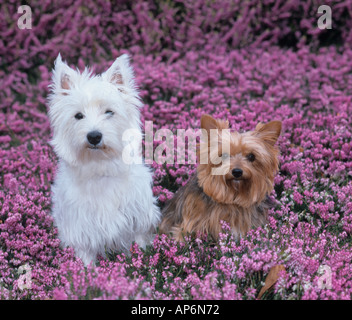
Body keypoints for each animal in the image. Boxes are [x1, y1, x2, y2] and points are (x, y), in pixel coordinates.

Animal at [47, 54, 160, 264]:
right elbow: (86, 257)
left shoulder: (139, 218)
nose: (94, 136)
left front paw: (144, 261)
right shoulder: (81, 229)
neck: (100, 166)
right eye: (78, 115)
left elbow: (141, 242)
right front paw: (86, 271)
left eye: (109, 112)